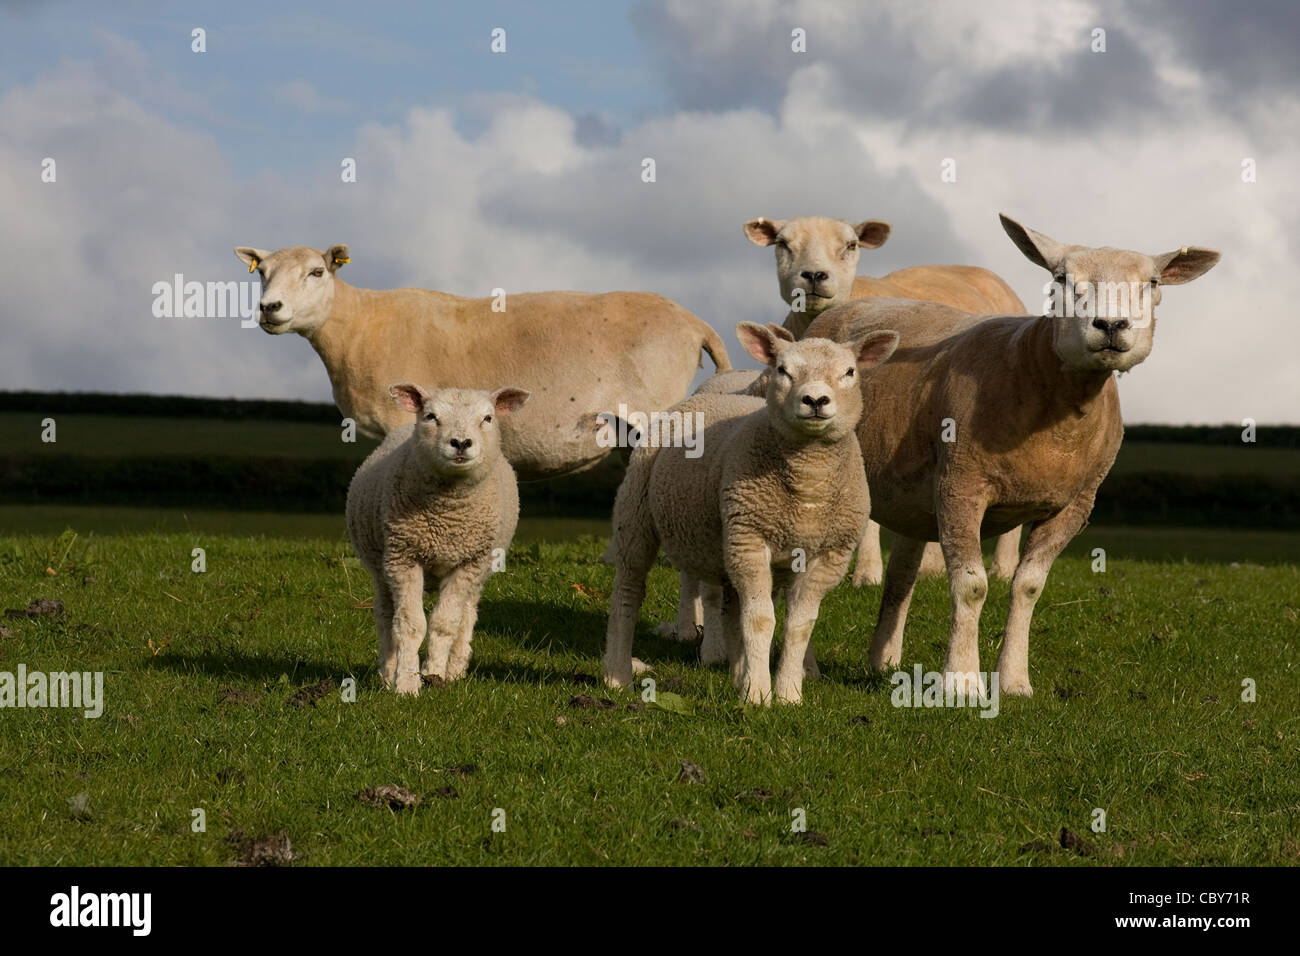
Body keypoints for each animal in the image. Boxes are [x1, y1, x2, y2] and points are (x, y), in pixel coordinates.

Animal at [234, 244, 730, 481]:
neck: (358, 324)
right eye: (262, 273)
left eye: (317, 272)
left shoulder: (401, 420)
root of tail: (694, 322)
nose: (269, 308)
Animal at [346, 383, 529, 695]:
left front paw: (434, 675)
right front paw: (407, 684)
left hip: (478, 571)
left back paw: (455, 670)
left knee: (467, 614)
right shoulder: (404, 558)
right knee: (385, 616)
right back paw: (387, 674)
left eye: (488, 418)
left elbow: (445, 624)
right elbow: (410, 625)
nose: (461, 443)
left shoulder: (469, 563)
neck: (448, 517)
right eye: (431, 416)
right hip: (381, 568)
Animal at [603, 322, 900, 705]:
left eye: (849, 372)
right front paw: (759, 695)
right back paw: (617, 675)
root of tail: (709, 393)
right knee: (629, 588)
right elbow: (760, 621)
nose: (815, 401)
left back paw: (737, 677)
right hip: (637, 510)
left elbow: (798, 625)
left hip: (723, 543)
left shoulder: (828, 555)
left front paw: (787, 695)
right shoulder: (751, 539)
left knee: (731, 611)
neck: (809, 483)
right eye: (783, 370)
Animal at [804, 214, 1220, 698]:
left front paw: (1015, 681)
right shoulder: (960, 486)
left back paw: (883, 659)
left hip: (911, 497)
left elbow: (1028, 588)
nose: (1111, 325)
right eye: (1061, 279)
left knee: (901, 574)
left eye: (1151, 282)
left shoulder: (1075, 504)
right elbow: (970, 587)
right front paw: (962, 681)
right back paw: (807, 667)